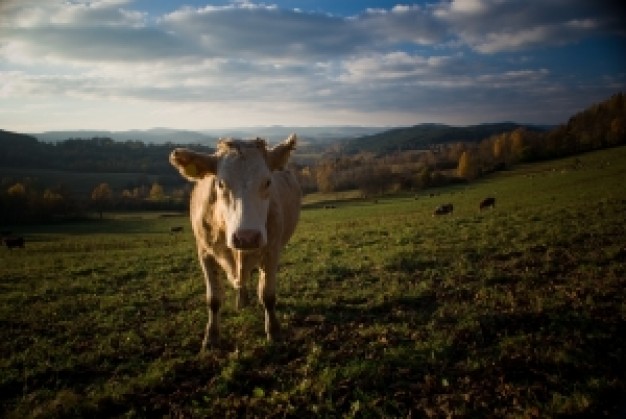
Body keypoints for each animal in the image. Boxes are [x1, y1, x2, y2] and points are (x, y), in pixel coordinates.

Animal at [168, 135, 300, 352]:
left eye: (268, 182)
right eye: (220, 183)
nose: (247, 237)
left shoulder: (272, 251)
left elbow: (268, 296)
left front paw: (274, 331)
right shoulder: (204, 253)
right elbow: (213, 299)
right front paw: (211, 337)